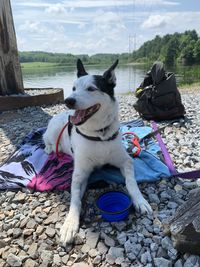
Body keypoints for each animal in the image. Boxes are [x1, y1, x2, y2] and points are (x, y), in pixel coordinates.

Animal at [42, 59, 152, 246]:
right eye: (73, 88)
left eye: (91, 89)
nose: (68, 100)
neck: (99, 134)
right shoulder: (80, 174)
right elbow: (75, 199)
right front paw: (70, 223)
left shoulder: (126, 161)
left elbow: (131, 183)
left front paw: (140, 200)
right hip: (54, 130)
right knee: (45, 138)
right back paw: (49, 148)